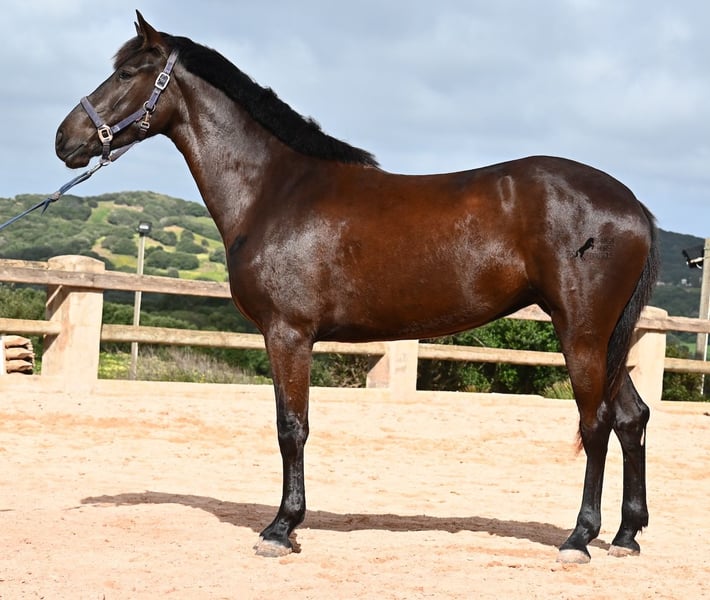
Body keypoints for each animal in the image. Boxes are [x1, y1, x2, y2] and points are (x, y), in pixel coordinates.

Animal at [55, 11, 659, 563]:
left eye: (127, 72)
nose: (65, 139)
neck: (276, 189)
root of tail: (633, 206)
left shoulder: (288, 334)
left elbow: (291, 427)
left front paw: (281, 528)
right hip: (603, 338)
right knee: (631, 417)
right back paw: (625, 536)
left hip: (581, 332)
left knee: (597, 422)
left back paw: (579, 539)